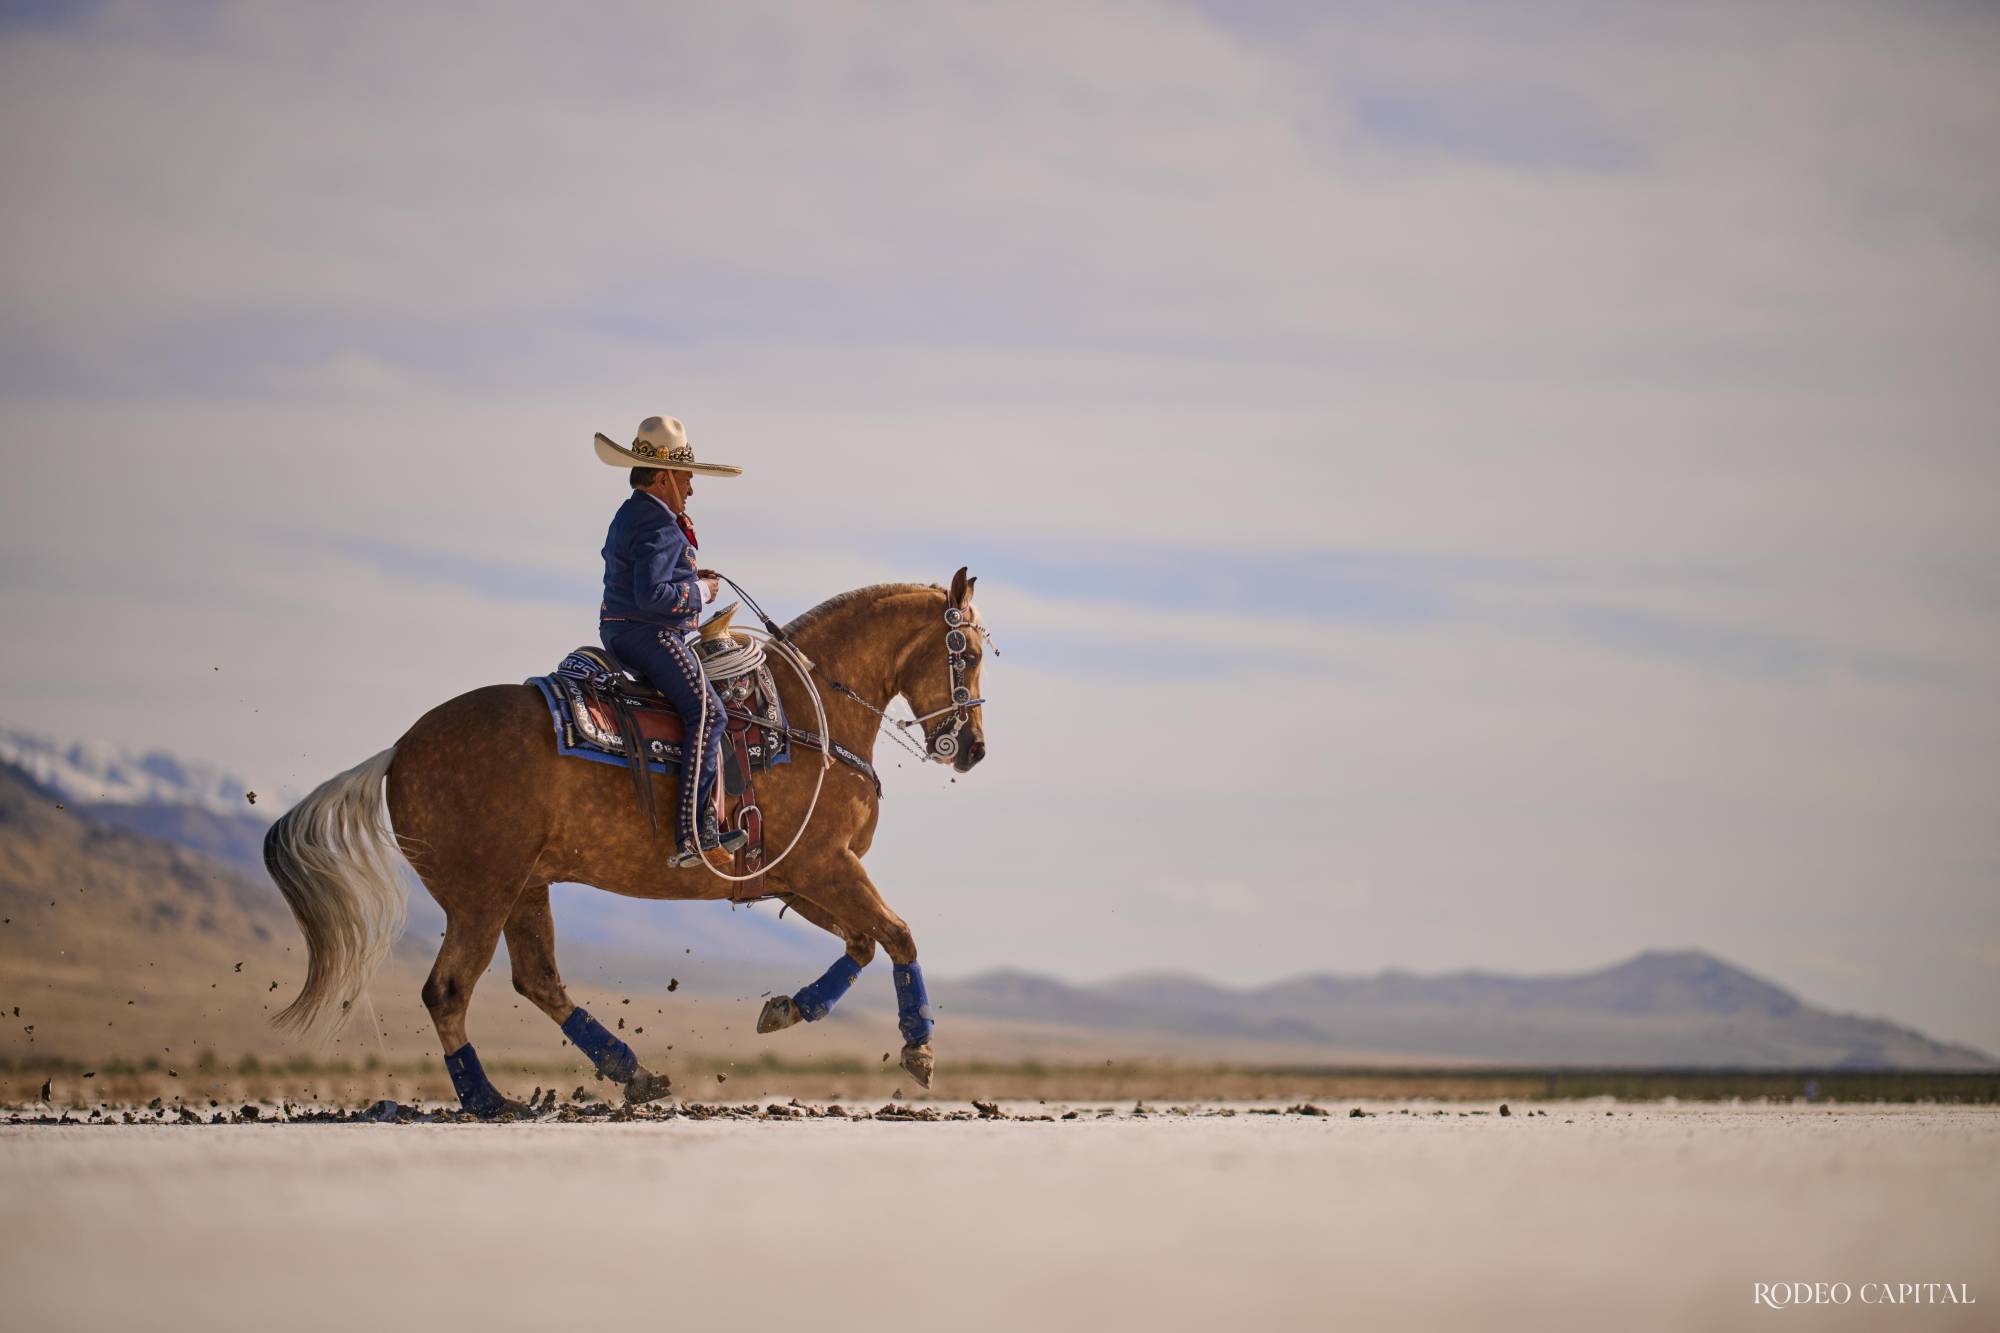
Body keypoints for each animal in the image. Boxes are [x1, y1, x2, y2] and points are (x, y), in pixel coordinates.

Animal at [261, 568, 989, 1117]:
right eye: (974, 653)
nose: (973, 750)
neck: (809, 713)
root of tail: (398, 752)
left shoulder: (796, 876)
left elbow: (862, 942)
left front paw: (787, 1007)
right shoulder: (825, 865)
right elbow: (897, 933)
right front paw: (919, 1049)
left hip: (525, 887)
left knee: (538, 980)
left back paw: (632, 1072)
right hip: (480, 894)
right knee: (448, 991)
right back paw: (489, 1099)